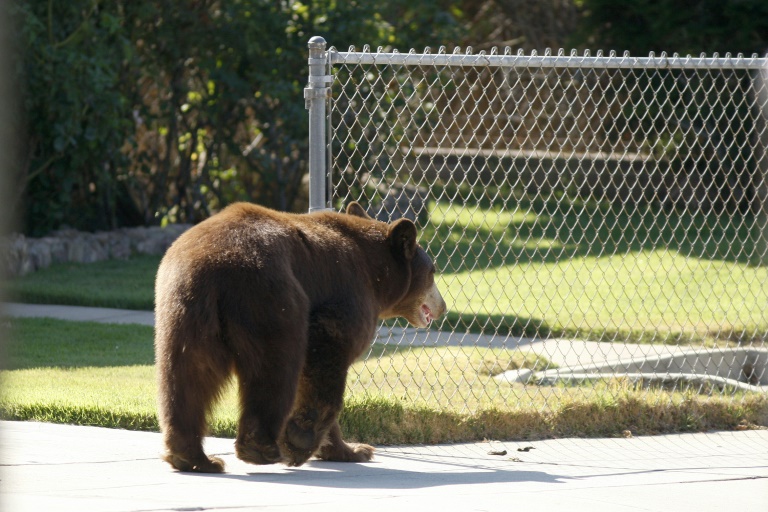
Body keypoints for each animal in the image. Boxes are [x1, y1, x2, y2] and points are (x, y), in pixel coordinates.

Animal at [154, 202, 448, 474]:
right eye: (433, 271)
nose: (443, 307)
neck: (376, 275)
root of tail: (213, 264)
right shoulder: (348, 294)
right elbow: (327, 354)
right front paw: (302, 440)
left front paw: (352, 449)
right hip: (270, 297)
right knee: (275, 367)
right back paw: (262, 448)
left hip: (184, 312)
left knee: (187, 377)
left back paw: (193, 457)